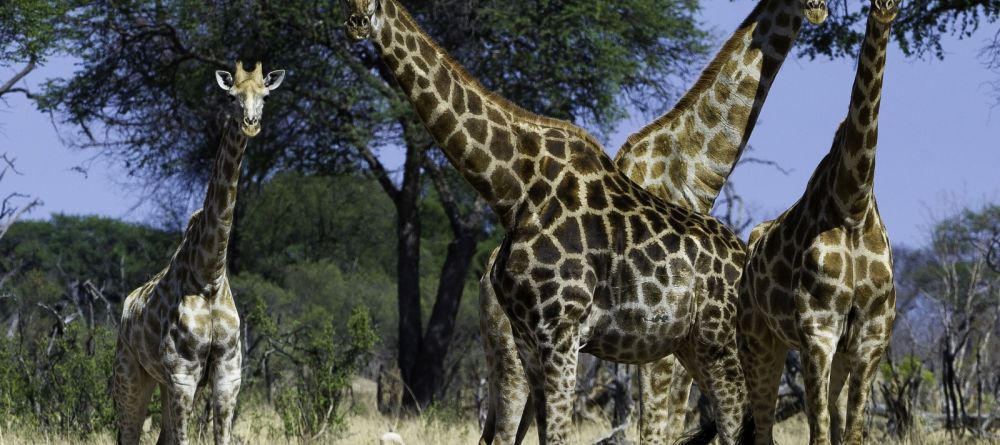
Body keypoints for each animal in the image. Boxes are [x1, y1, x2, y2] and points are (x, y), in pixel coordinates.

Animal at [114, 59, 286, 444]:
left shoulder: (228, 376)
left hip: (162, 383)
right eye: (231, 96)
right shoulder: (183, 375)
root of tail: (127, 307)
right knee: (129, 433)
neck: (209, 274)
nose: (250, 124)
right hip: (132, 373)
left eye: (265, 96)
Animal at [344, 1, 752, 442]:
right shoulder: (528, 339)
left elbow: (559, 433)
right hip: (692, 346)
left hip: (719, 345)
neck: (513, 190)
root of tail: (748, 254)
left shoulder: (561, 333)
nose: (356, 25)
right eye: (343, 5)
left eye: (374, 4)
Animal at [736, 1, 900, 442]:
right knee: (760, 428)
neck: (853, 205)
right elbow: (820, 430)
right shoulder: (817, 330)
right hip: (758, 341)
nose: (886, 9)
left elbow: (853, 430)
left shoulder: (870, 337)